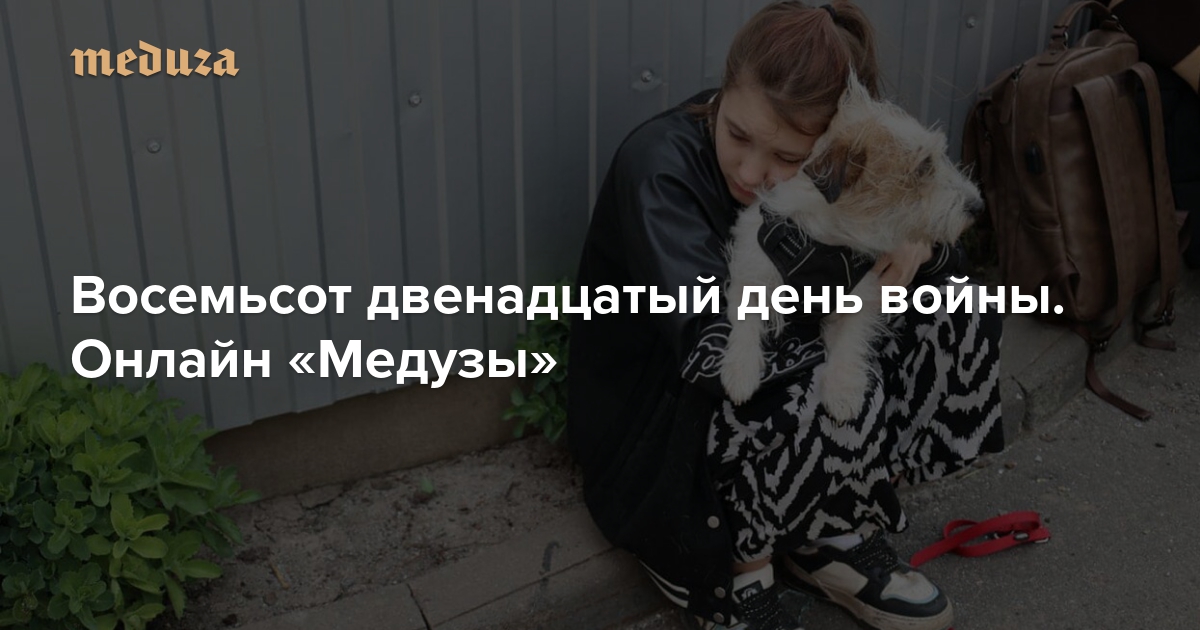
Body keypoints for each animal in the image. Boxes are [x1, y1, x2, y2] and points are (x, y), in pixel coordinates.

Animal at [719, 74, 984, 423]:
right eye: (923, 166)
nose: (978, 206)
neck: (828, 241)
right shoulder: (754, 263)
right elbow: (746, 315)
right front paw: (741, 370)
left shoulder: (863, 292)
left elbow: (850, 339)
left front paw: (843, 390)